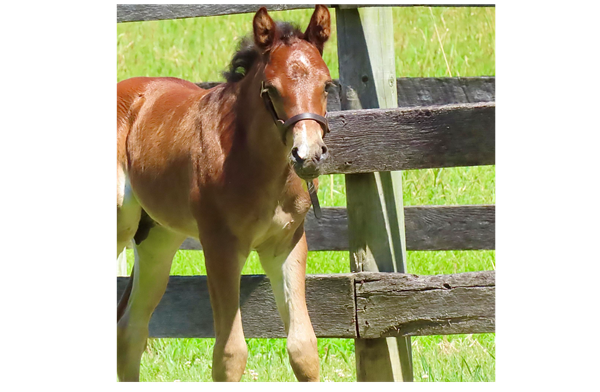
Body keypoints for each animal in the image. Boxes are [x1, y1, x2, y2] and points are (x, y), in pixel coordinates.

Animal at [117, 3, 332, 382]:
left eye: (326, 85)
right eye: (270, 89)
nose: (308, 156)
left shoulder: (285, 244)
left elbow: (303, 348)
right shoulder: (220, 247)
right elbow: (230, 354)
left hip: (157, 239)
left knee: (130, 329)